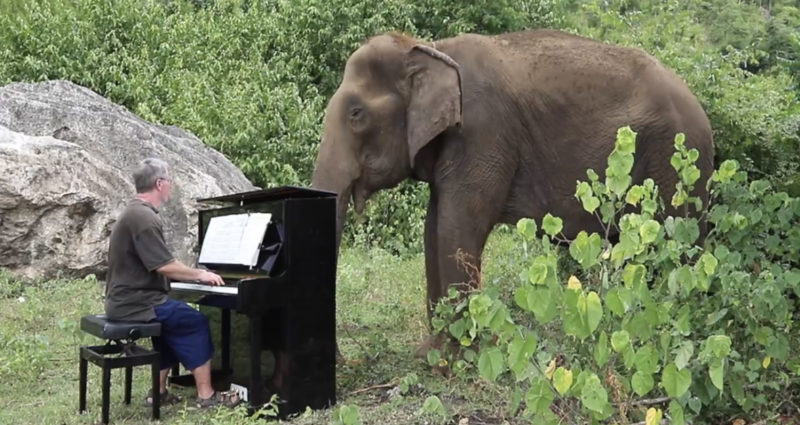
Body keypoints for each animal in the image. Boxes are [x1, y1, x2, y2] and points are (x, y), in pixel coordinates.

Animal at [311, 29, 714, 330]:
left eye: (357, 114)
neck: (429, 48)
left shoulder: (483, 133)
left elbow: (458, 229)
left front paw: (457, 363)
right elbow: (434, 229)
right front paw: (435, 358)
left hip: (675, 162)